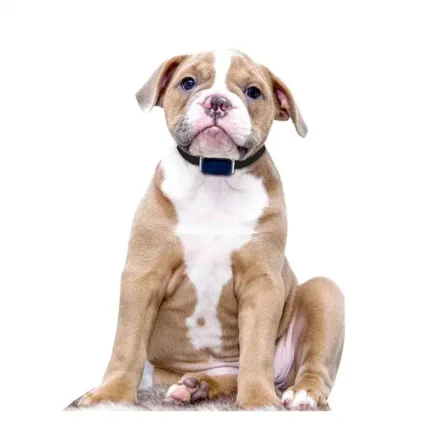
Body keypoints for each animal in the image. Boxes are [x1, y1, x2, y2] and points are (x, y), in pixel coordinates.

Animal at [76, 50, 345, 410]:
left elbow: (257, 349)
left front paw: (259, 401)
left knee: (310, 365)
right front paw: (110, 396)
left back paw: (302, 393)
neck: (215, 178)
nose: (217, 102)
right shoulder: (143, 275)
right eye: (188, 82)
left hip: (324, 293)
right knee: (223, 378)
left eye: (253, 92)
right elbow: (127, 342)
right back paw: (195, 387)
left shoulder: (262, 282)